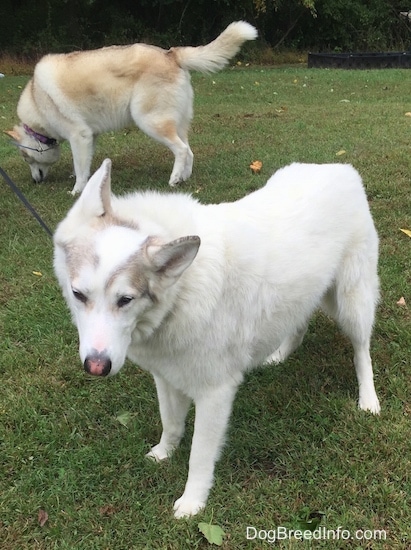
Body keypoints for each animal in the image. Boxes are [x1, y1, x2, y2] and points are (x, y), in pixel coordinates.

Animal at [6, 22, 258, 195]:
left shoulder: (79, 135)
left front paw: (77, 190)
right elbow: (83, 164)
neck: (38, 100)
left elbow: (80, 167)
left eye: (26, 158)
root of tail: (171, 53)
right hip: (176, 122)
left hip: (150, 122)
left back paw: (173, 180)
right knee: (189, 150)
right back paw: (183, 178)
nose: (35, 182)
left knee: (181, 150)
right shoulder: (90, 136)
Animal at [53, 158, 382, 516]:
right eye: (78, 295)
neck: (181, 292)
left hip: (351, 304)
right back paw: (279, 356)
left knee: (362, 352)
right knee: (298, 327)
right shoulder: (166, 377)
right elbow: (171, 424)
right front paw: (164, 453)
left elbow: (199, 456)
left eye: (125, 300)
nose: (96, 367)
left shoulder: (215, 394)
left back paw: (368, 400)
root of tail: (340, 167)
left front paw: (192, 502)